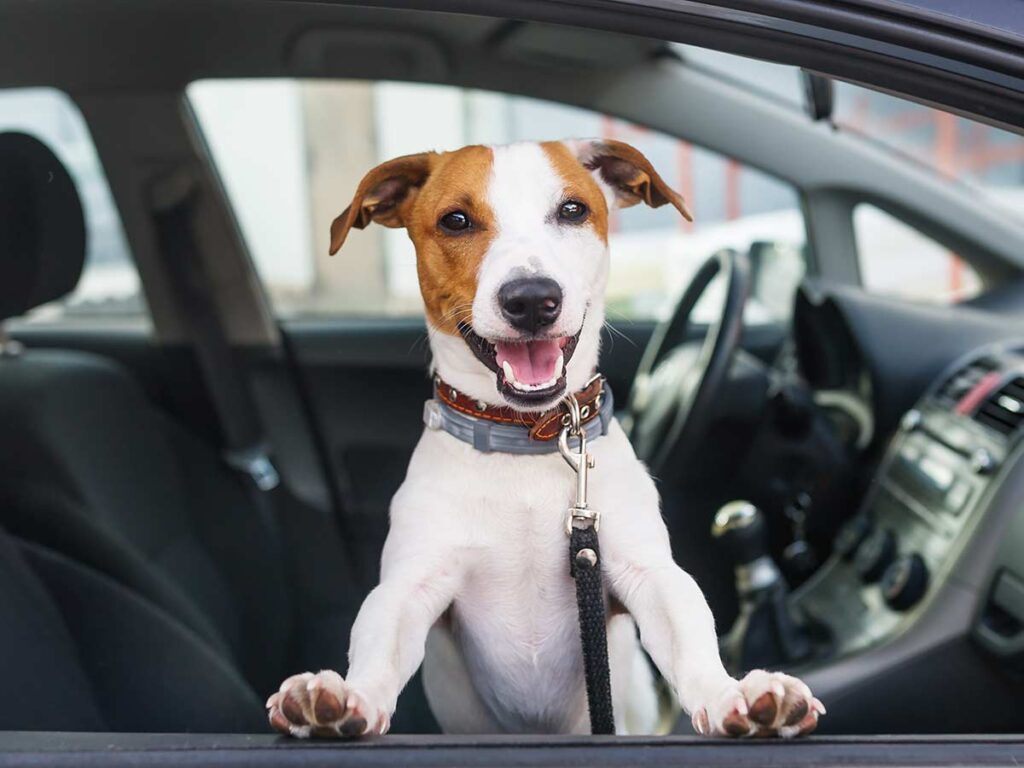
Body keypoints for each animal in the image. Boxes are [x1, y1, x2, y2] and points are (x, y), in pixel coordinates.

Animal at [266, 138, 823, 741]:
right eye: (455, 220)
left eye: (573, 210)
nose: (532, 298)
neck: (525, 440)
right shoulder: (410, 585)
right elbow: (378, 644)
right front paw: (346, 699)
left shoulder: (646, 573)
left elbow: (689, 632)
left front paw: (732, 695)